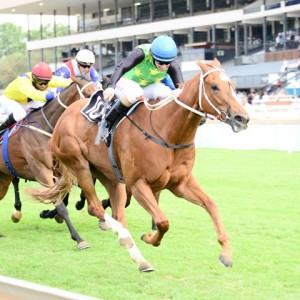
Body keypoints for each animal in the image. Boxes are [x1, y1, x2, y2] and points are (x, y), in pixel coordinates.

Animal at [0, 77, 101, 248]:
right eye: (88, 94)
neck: (47, 129)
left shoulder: (59, 170)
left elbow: (63, 195)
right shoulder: (42, 172)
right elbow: (61, 206)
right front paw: (79, 239)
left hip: (4, 177)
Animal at [31, 59, 251, 272]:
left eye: (232, 85)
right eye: (214, 86)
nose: (242, 118)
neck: (168, 132)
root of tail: (63, 117)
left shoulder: (181, 184)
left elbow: (211, 205)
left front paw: (226, 254)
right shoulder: (138, 184)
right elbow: (163, 221)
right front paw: (149, 237)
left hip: (109, 176)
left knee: (117, 213)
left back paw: (139, 259)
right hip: (79, 164)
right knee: (95, 208)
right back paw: (120, 238)